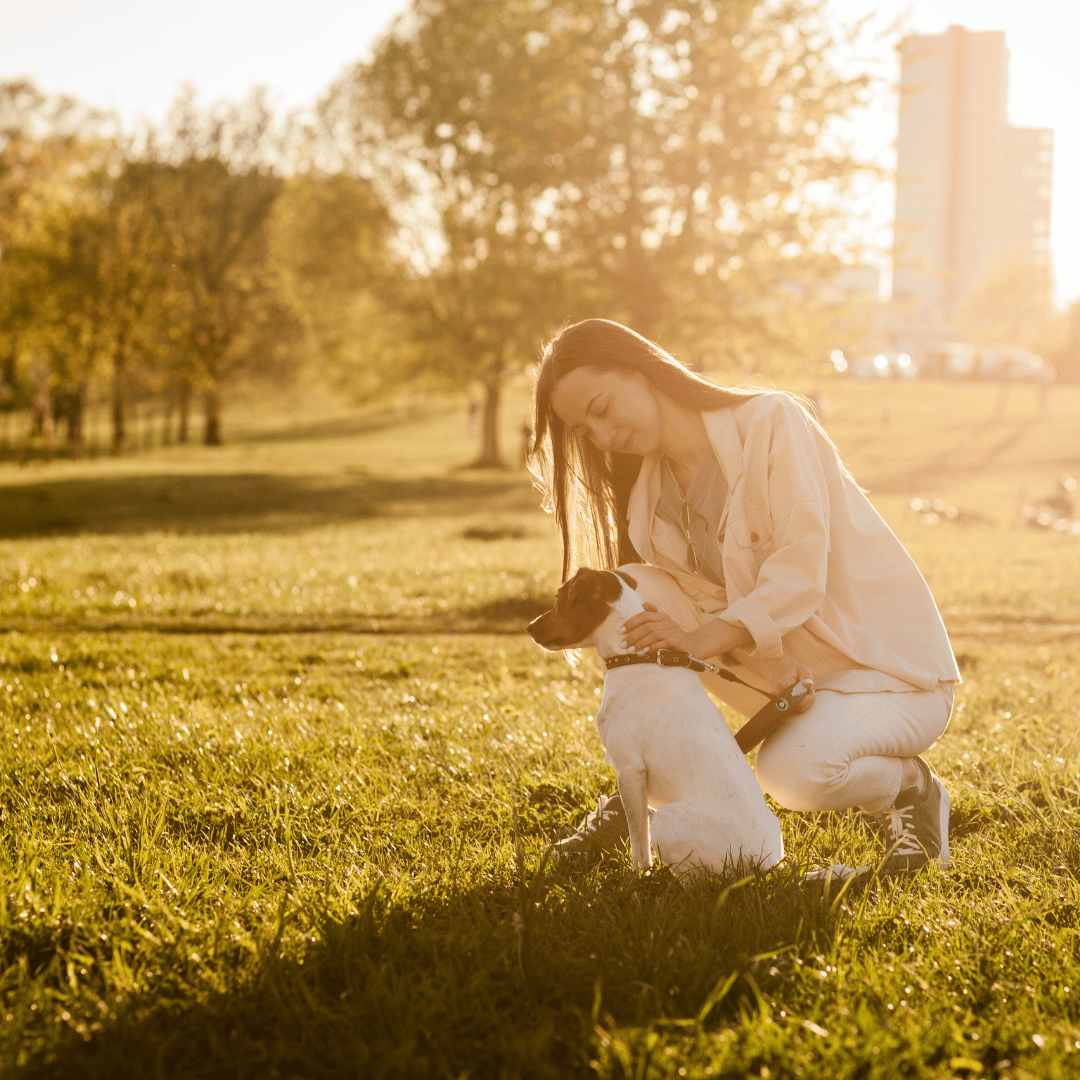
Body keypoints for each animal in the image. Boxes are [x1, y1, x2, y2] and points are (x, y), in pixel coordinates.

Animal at [527, 565, 781, 876]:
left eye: (559, 598)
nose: (529, 627)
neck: (637, 657)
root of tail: (764, 866)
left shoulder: (630, 770)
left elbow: (639, 837)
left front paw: (638, 876)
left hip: (667, 817)